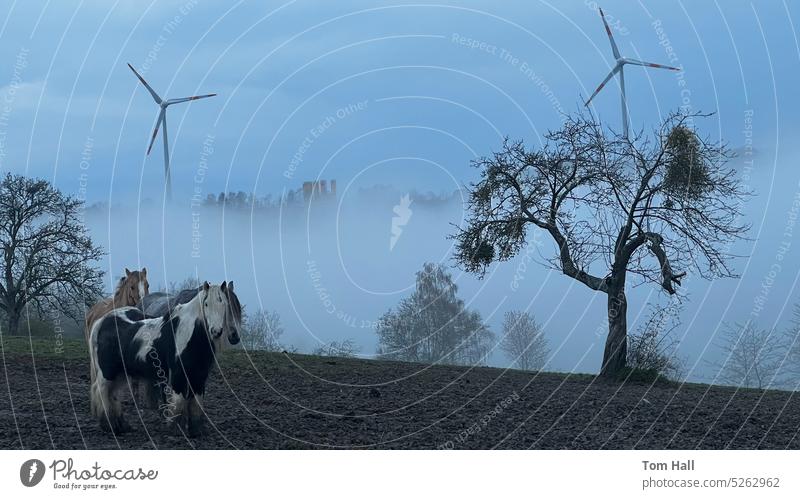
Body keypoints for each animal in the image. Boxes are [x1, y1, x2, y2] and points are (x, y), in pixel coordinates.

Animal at [90, 282, 241, 438]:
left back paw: (121, 426)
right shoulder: (178, 376)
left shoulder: (199, 376)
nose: (216, 331)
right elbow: (179, 400)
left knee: (112, 394)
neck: (191, 334)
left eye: (223, 303)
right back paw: (109, 426)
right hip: (108, 372)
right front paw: (176, 429)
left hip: (119, 373)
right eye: (205, 304)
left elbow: (196, 402)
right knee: (102, 392)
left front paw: (196, 431)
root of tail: (101, 322)